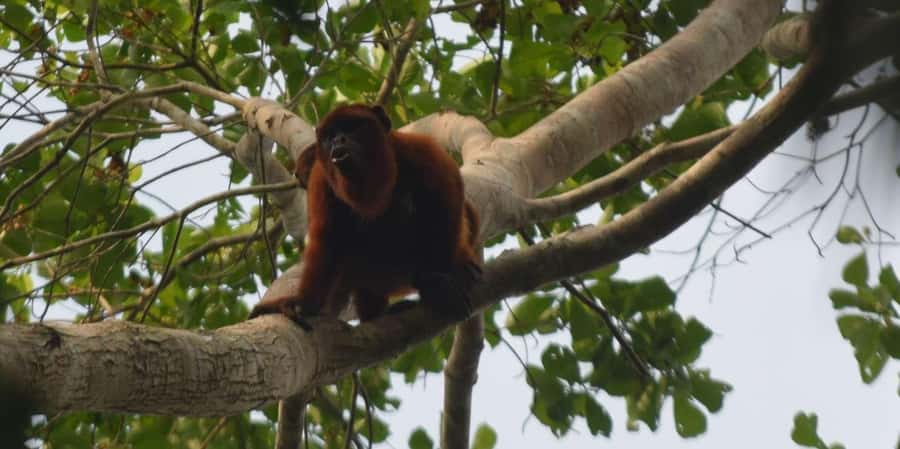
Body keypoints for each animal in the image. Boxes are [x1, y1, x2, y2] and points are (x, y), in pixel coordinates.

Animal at [250, 104, 482, 325]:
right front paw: (301, 304)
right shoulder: (321, 180)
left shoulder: (420, 150)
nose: (338, 140)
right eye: (330, 135)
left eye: (352, 127)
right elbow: (326, 241)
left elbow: (447, 198)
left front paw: (436, 280)